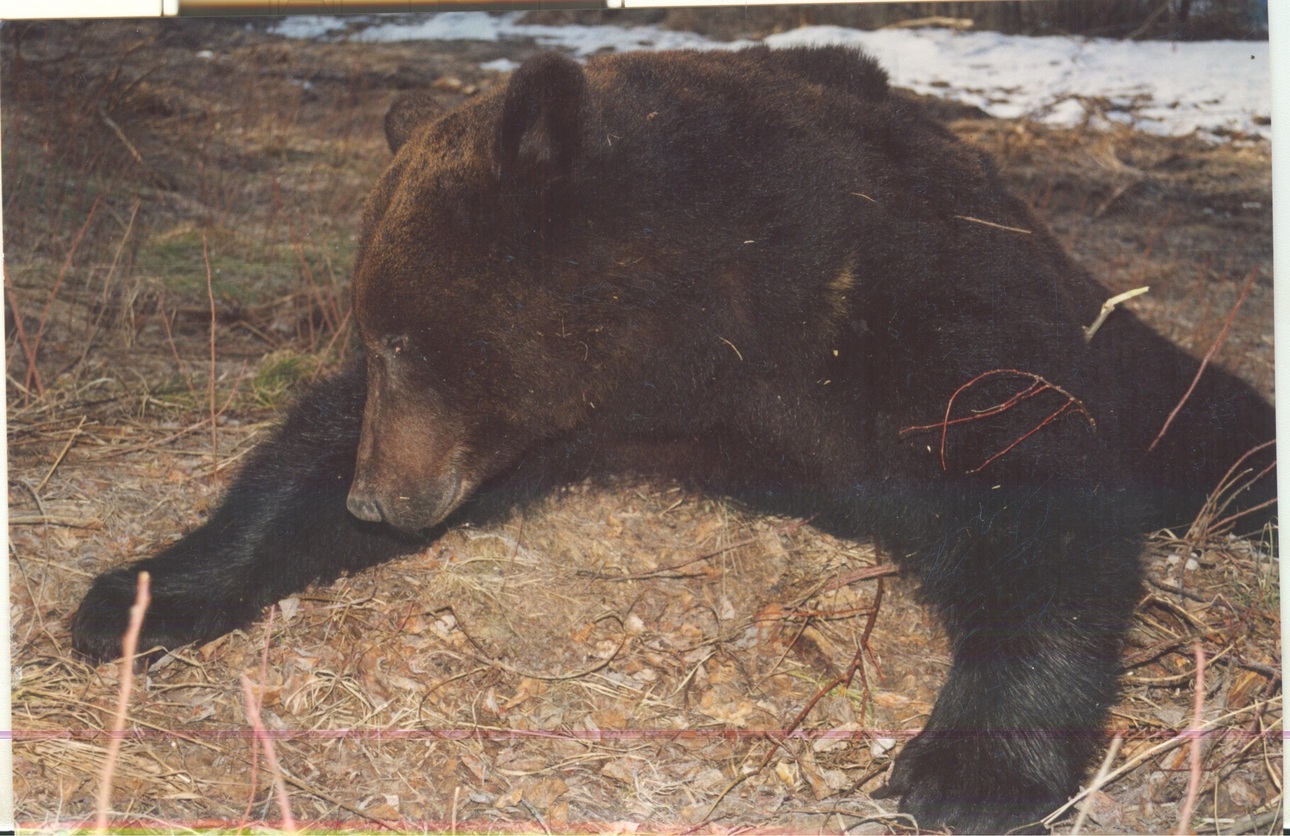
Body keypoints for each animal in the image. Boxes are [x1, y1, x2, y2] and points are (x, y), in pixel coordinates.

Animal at [75, 49, 1274, 830]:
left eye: (406, 338)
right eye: (373, 338)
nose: (380, 500)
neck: (700, 320)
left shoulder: (904, 297)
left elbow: (1031, 476)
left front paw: (971, 768)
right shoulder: (586, 414)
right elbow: (302, 462)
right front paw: (136, 596)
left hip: (1115, 340)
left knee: (1216, 423)